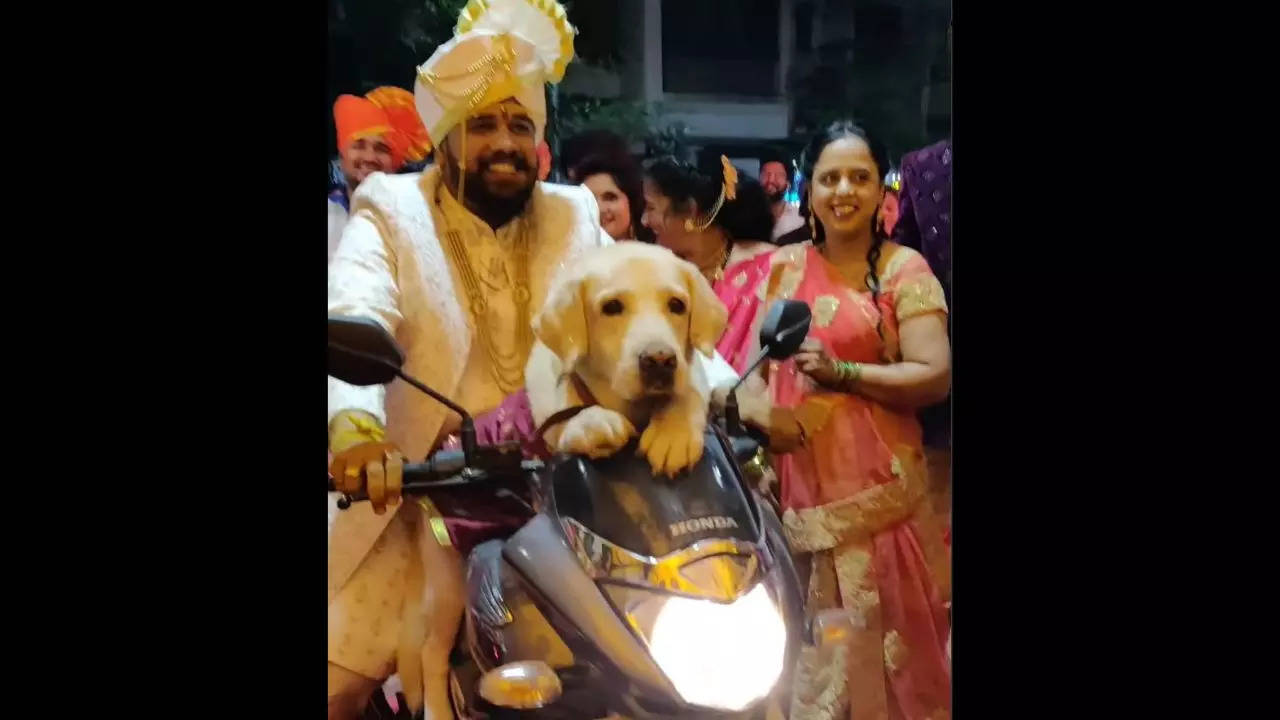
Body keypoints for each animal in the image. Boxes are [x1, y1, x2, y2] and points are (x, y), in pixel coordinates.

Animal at [527, 243, 732, 474]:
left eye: (677, 305)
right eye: (611, 307)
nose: (660, 361)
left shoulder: (691, 370)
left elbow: (689, 390)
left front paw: (674, 432)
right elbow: (561, 418)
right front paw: (589, 421)